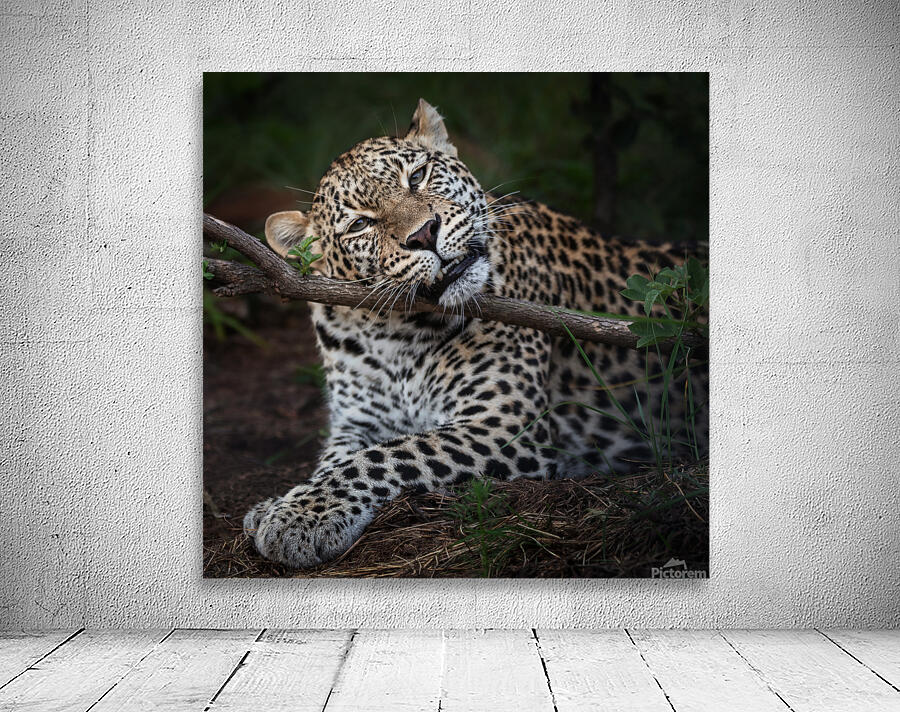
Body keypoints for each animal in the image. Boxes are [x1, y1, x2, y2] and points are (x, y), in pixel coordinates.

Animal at [243, 99, 708, 568]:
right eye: (359, 225)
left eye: (417, 176)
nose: (424, 233)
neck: (394, 333)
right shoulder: (357, 420)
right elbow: (338, 458)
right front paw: (281, 503)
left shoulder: (503, 422)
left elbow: (385, 456)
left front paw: (300, 514)